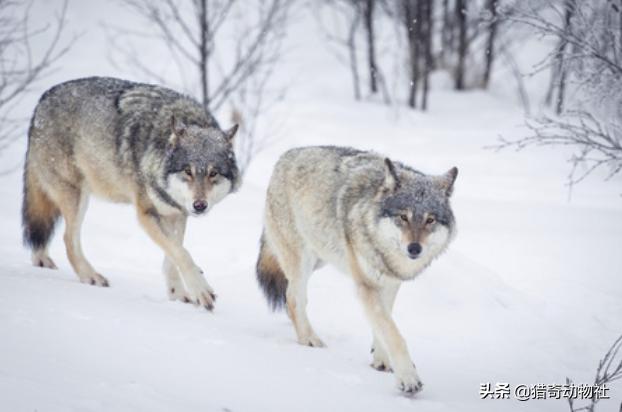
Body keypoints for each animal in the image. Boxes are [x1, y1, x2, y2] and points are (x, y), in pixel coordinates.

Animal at [22, 76, 241, 308]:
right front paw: (200, 289)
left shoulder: (176, 214)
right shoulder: (146, 213)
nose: (199, 206)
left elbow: (173, 254)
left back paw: (42, 260)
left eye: (213, 173)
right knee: (67, 240)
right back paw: (90, 276)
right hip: (76, 197)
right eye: (187, 171)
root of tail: (42, 100)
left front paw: (178, 294)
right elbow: (181, 253)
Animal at [258, 146, 458, 394]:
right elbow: (393, 333)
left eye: (430, 220)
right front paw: (408, 378)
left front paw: (381, 359)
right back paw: (308, 339)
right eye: (403, 216)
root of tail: (286, 155)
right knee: (294, 297)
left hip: (320, 257)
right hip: (302, 260)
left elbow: (384, 324)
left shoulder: (390, 283)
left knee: (289, 296)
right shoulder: (366, 286)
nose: (414, 248)